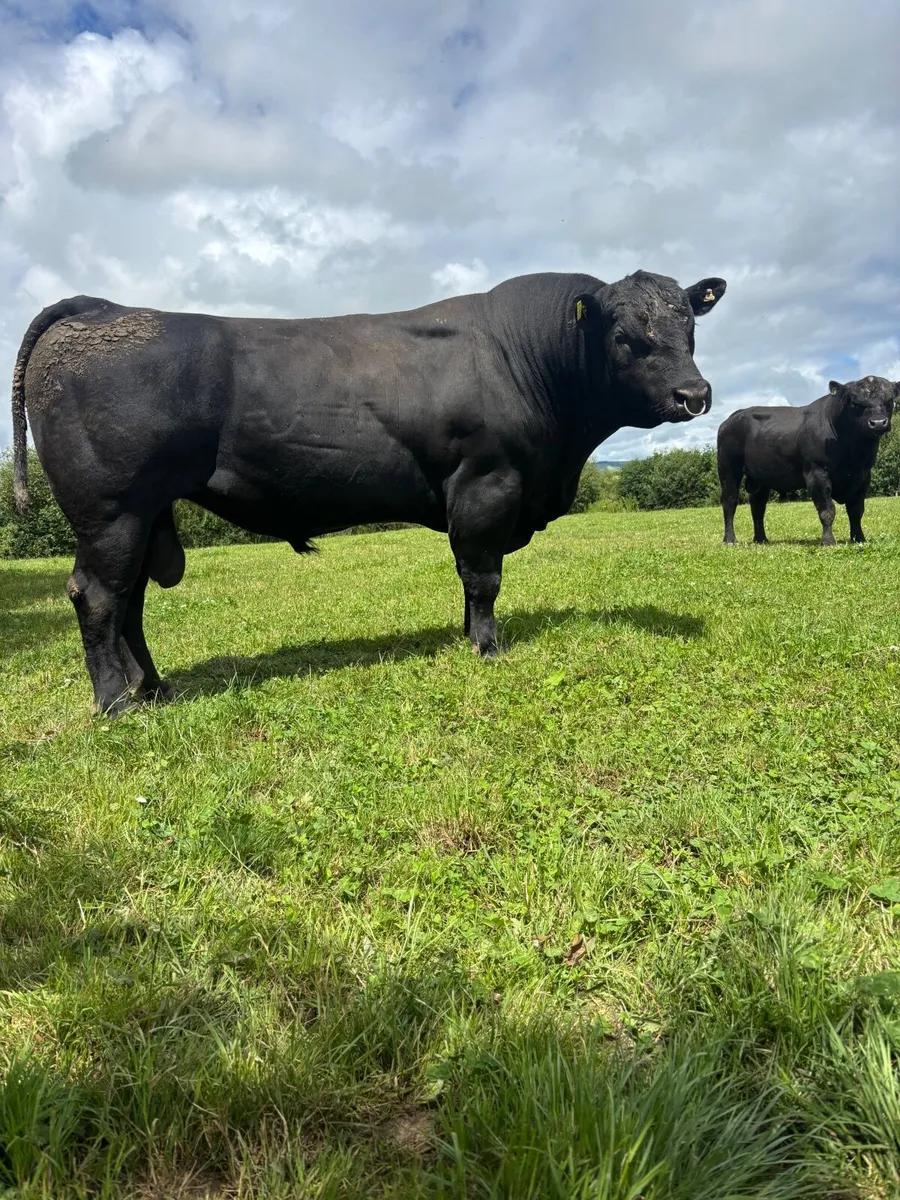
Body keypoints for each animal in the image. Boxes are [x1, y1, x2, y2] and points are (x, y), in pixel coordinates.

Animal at [11, 269, 726, 715]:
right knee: (98, 595)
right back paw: (114, 703)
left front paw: (465, 637)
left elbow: (469, 577)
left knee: (128, 599)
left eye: (690, 328)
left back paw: (153, 689)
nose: (694, 394)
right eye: (626, 337)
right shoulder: (486, 482)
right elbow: (483, 575)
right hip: (112, 510)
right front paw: (486, 647)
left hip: (142, 513)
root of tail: (103, 308)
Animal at [717, 376, 897, 547]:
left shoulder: (863, 476)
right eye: (856, 403)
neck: (853, 455)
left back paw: (761, 539)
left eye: (890, 401)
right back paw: (730, 539)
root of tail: (734, 417)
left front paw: (859, 538)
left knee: (758, 507)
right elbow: (827, 510)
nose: (878, 423)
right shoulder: (816, 473)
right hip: (728, 470)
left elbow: (856, 511)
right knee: (730, 502)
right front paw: (828, 541)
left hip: (760, 478)